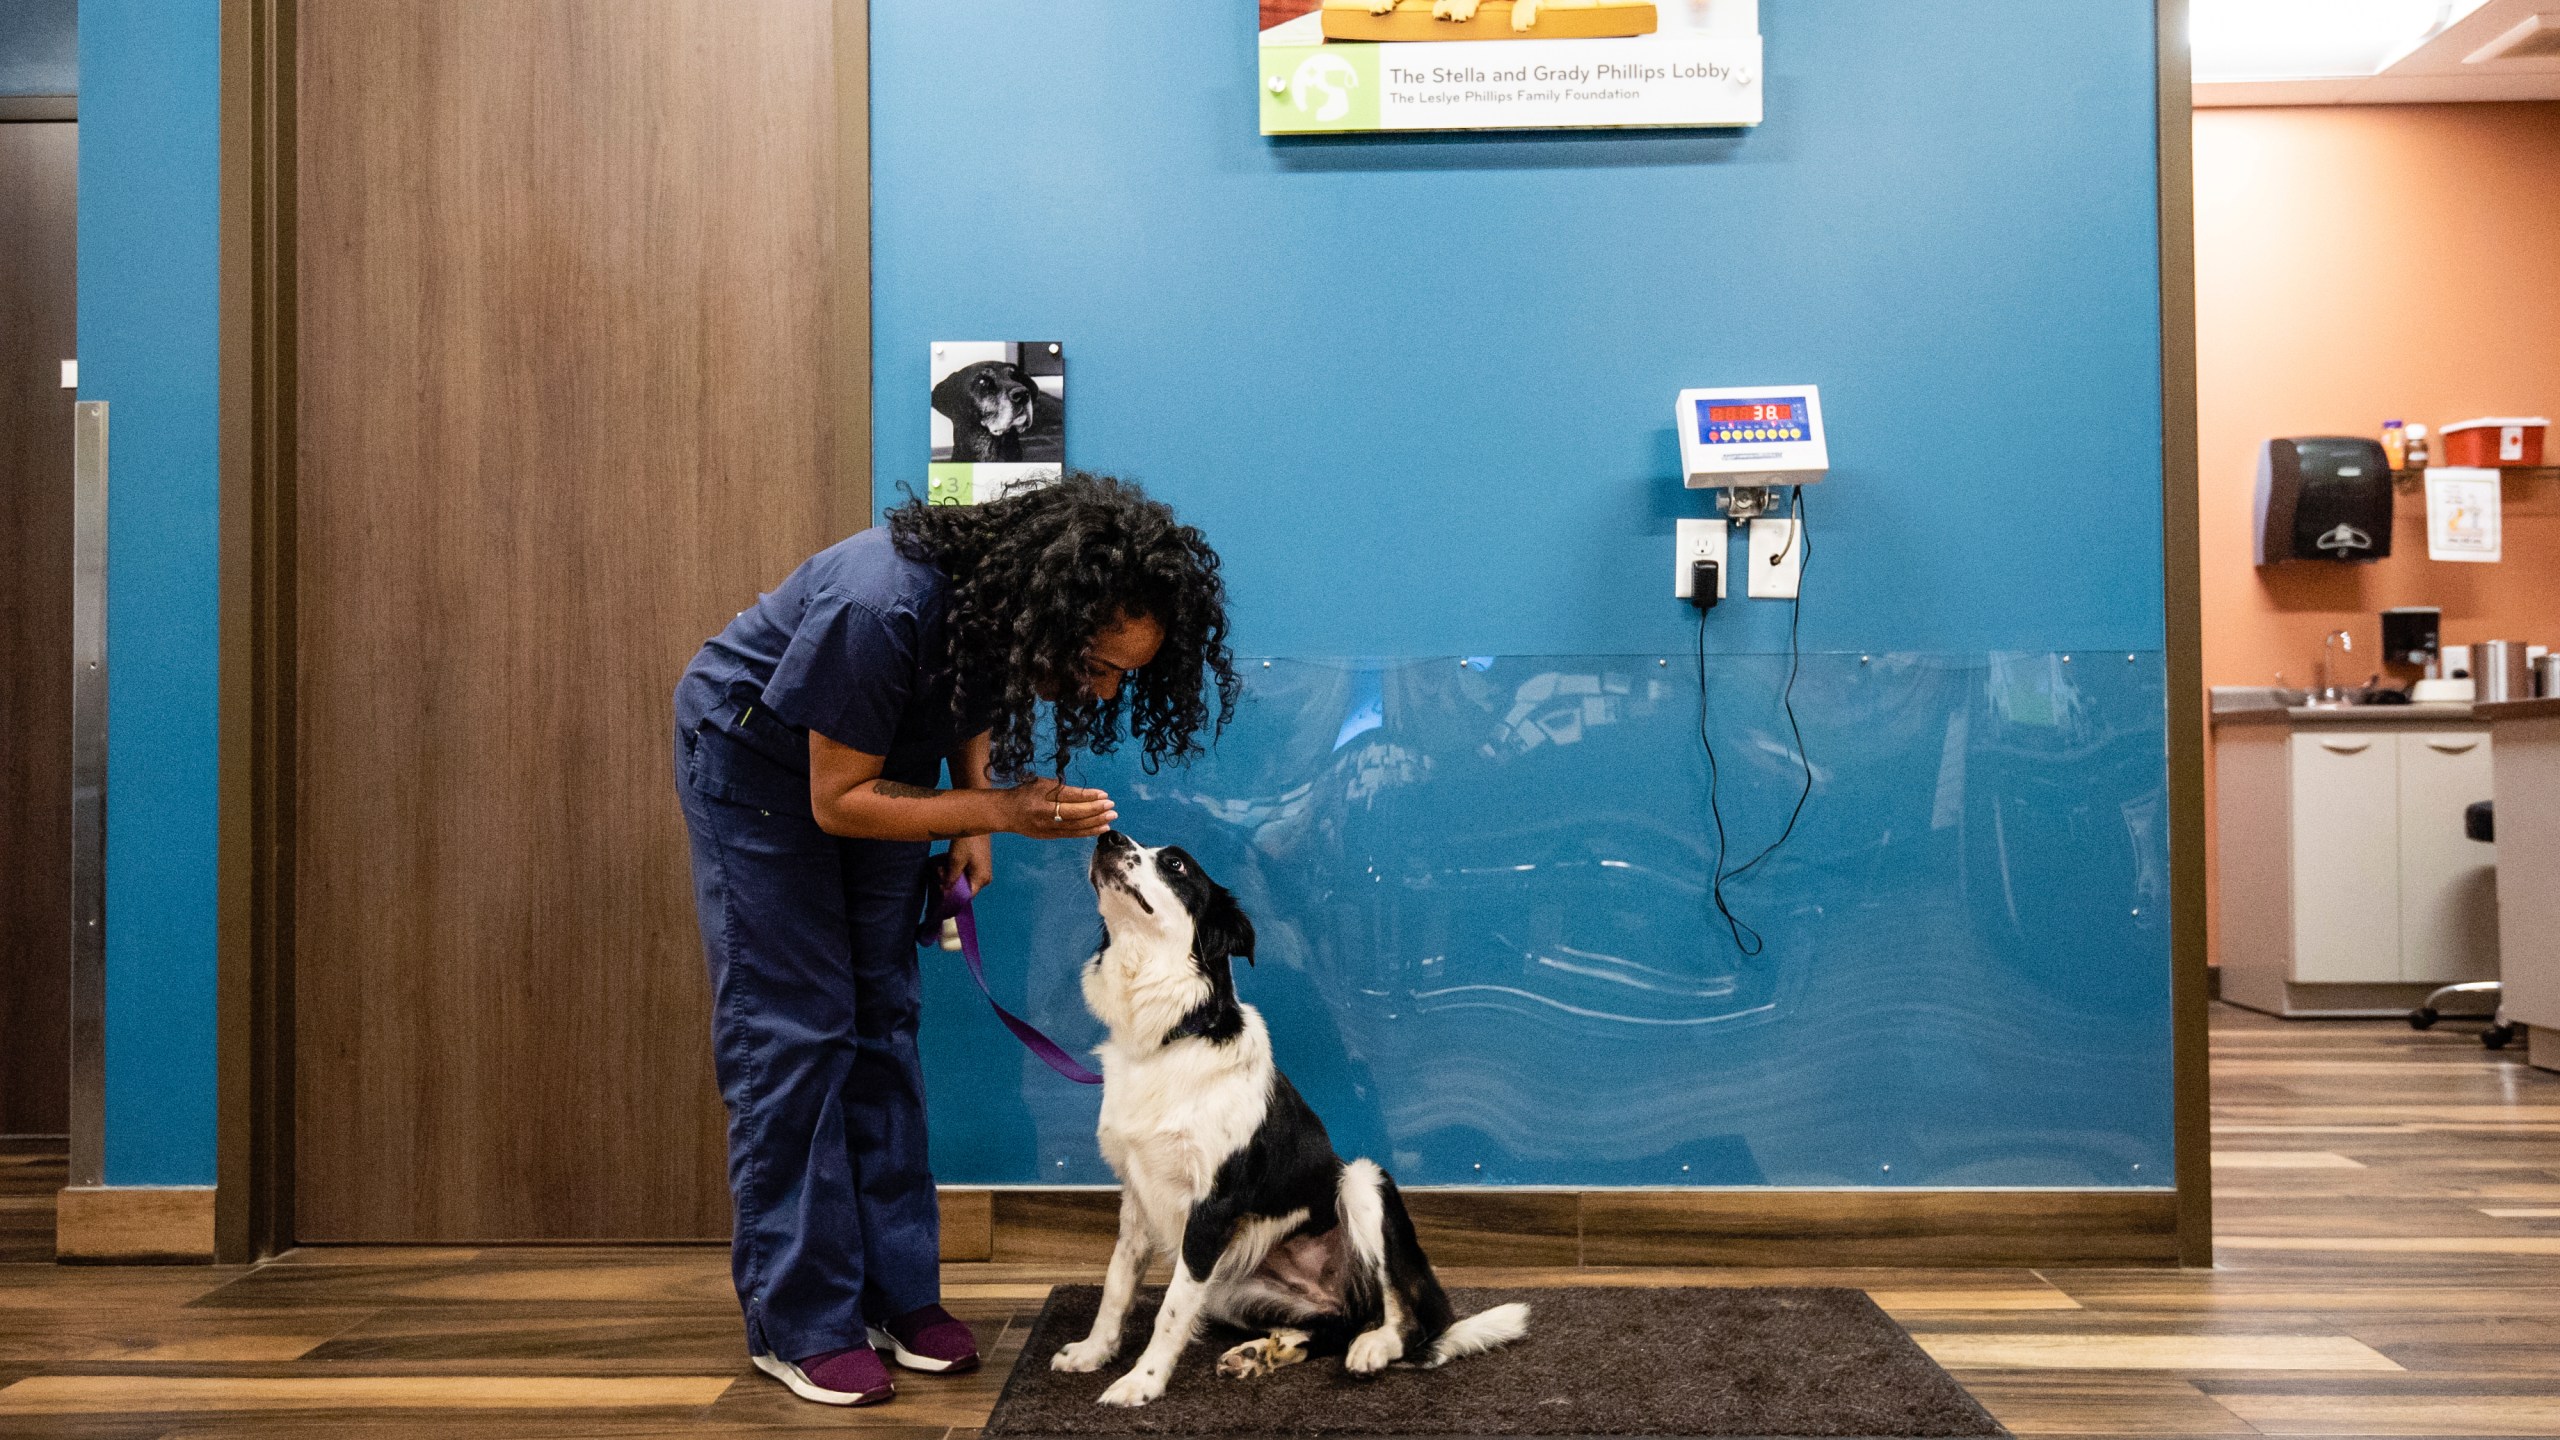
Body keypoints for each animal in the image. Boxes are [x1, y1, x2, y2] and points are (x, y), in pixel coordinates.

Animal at [1054, 830, 1525, 1404]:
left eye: (1176, 864)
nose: (1108, 835)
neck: (1170, 1037)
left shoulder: (1211, 1209)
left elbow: (1168, 1311)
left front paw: (1142, 1382)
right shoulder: (1137, 1195)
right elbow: (1117, 1283)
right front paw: (1094, 1352)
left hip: (1362, 1181)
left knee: (1404, 1319)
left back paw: (1372, 1347)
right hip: (1230, 1287)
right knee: (1334, 1323)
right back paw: (1263, 1352)